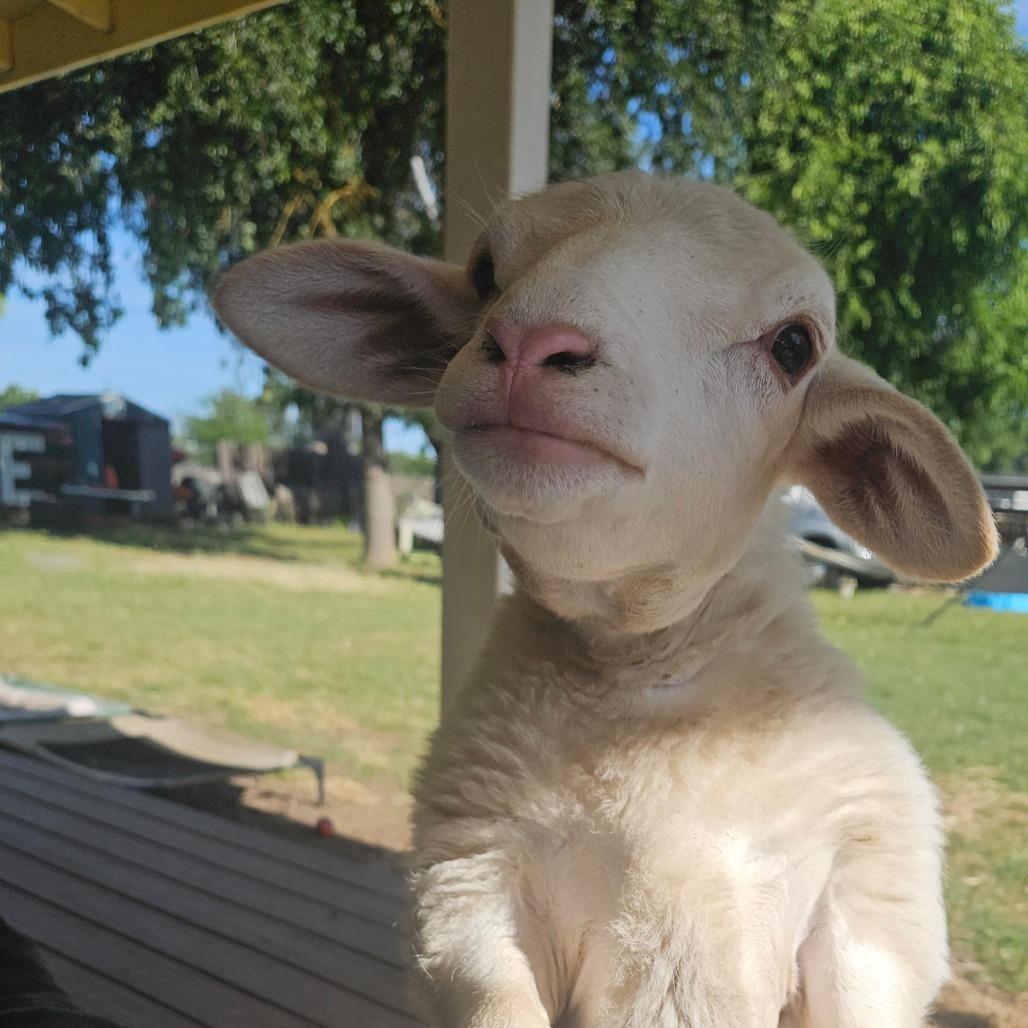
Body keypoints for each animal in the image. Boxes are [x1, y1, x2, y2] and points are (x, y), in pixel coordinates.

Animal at [215, 171, 998, 1028]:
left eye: (794, 346)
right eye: (485, 272)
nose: (530, 343)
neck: (643, 680)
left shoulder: (874, 896)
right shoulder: (466, 888)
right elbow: (492, 999)